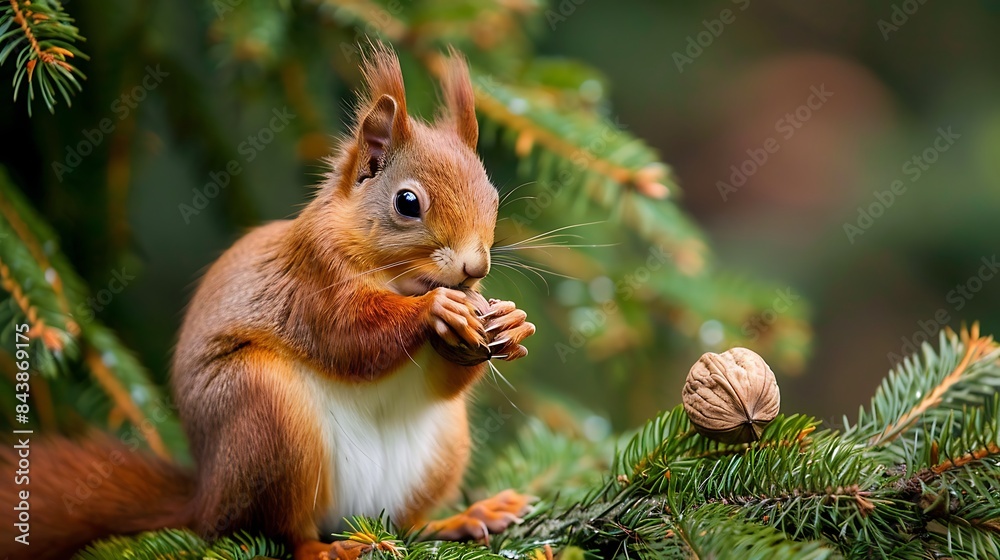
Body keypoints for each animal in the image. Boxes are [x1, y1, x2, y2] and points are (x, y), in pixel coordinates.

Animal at [0, 46, 536, 556]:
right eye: (408, 203)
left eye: (492, 197)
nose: (475, 268)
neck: (398, 281)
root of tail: (206, 498)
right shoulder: (312, 280)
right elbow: (351, 339)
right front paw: (436, 310)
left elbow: (445, 382)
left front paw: (510, 320)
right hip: (266, 416)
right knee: (284, 530)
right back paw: (327, 550)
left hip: (441, 448)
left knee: (408, 523)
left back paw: (463, 518)